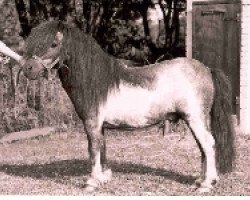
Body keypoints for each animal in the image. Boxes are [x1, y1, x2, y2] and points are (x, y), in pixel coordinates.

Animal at [18, 21, 235, 193]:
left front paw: (92, 182)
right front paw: (104, 177)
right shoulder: (99, 126)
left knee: (208, 144)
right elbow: (102, 148)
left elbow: (93, 149)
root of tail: (207, 69)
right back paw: (200, 180)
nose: (28, 69)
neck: (96, 80)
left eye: (54, 44)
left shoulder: (92, 123)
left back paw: (206, 184)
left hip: (195, 118)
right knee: (203, 147)